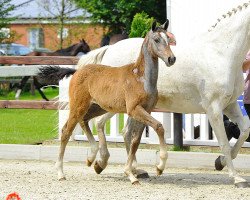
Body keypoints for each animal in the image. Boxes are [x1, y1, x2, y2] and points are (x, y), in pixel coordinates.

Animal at [39, 20, 176, 184]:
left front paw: (134, 172)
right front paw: (157, 167)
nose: (171, 59)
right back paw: (61, 172)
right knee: (66, 131)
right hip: (79, 106)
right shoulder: (134, 110)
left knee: (85, 121)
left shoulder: (146, 110)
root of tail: (77, 71)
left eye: (168, 40)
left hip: (98, 107)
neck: (141, 78)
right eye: (156, 40)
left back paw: (92, 158)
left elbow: (136, 140)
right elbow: (158, 127)